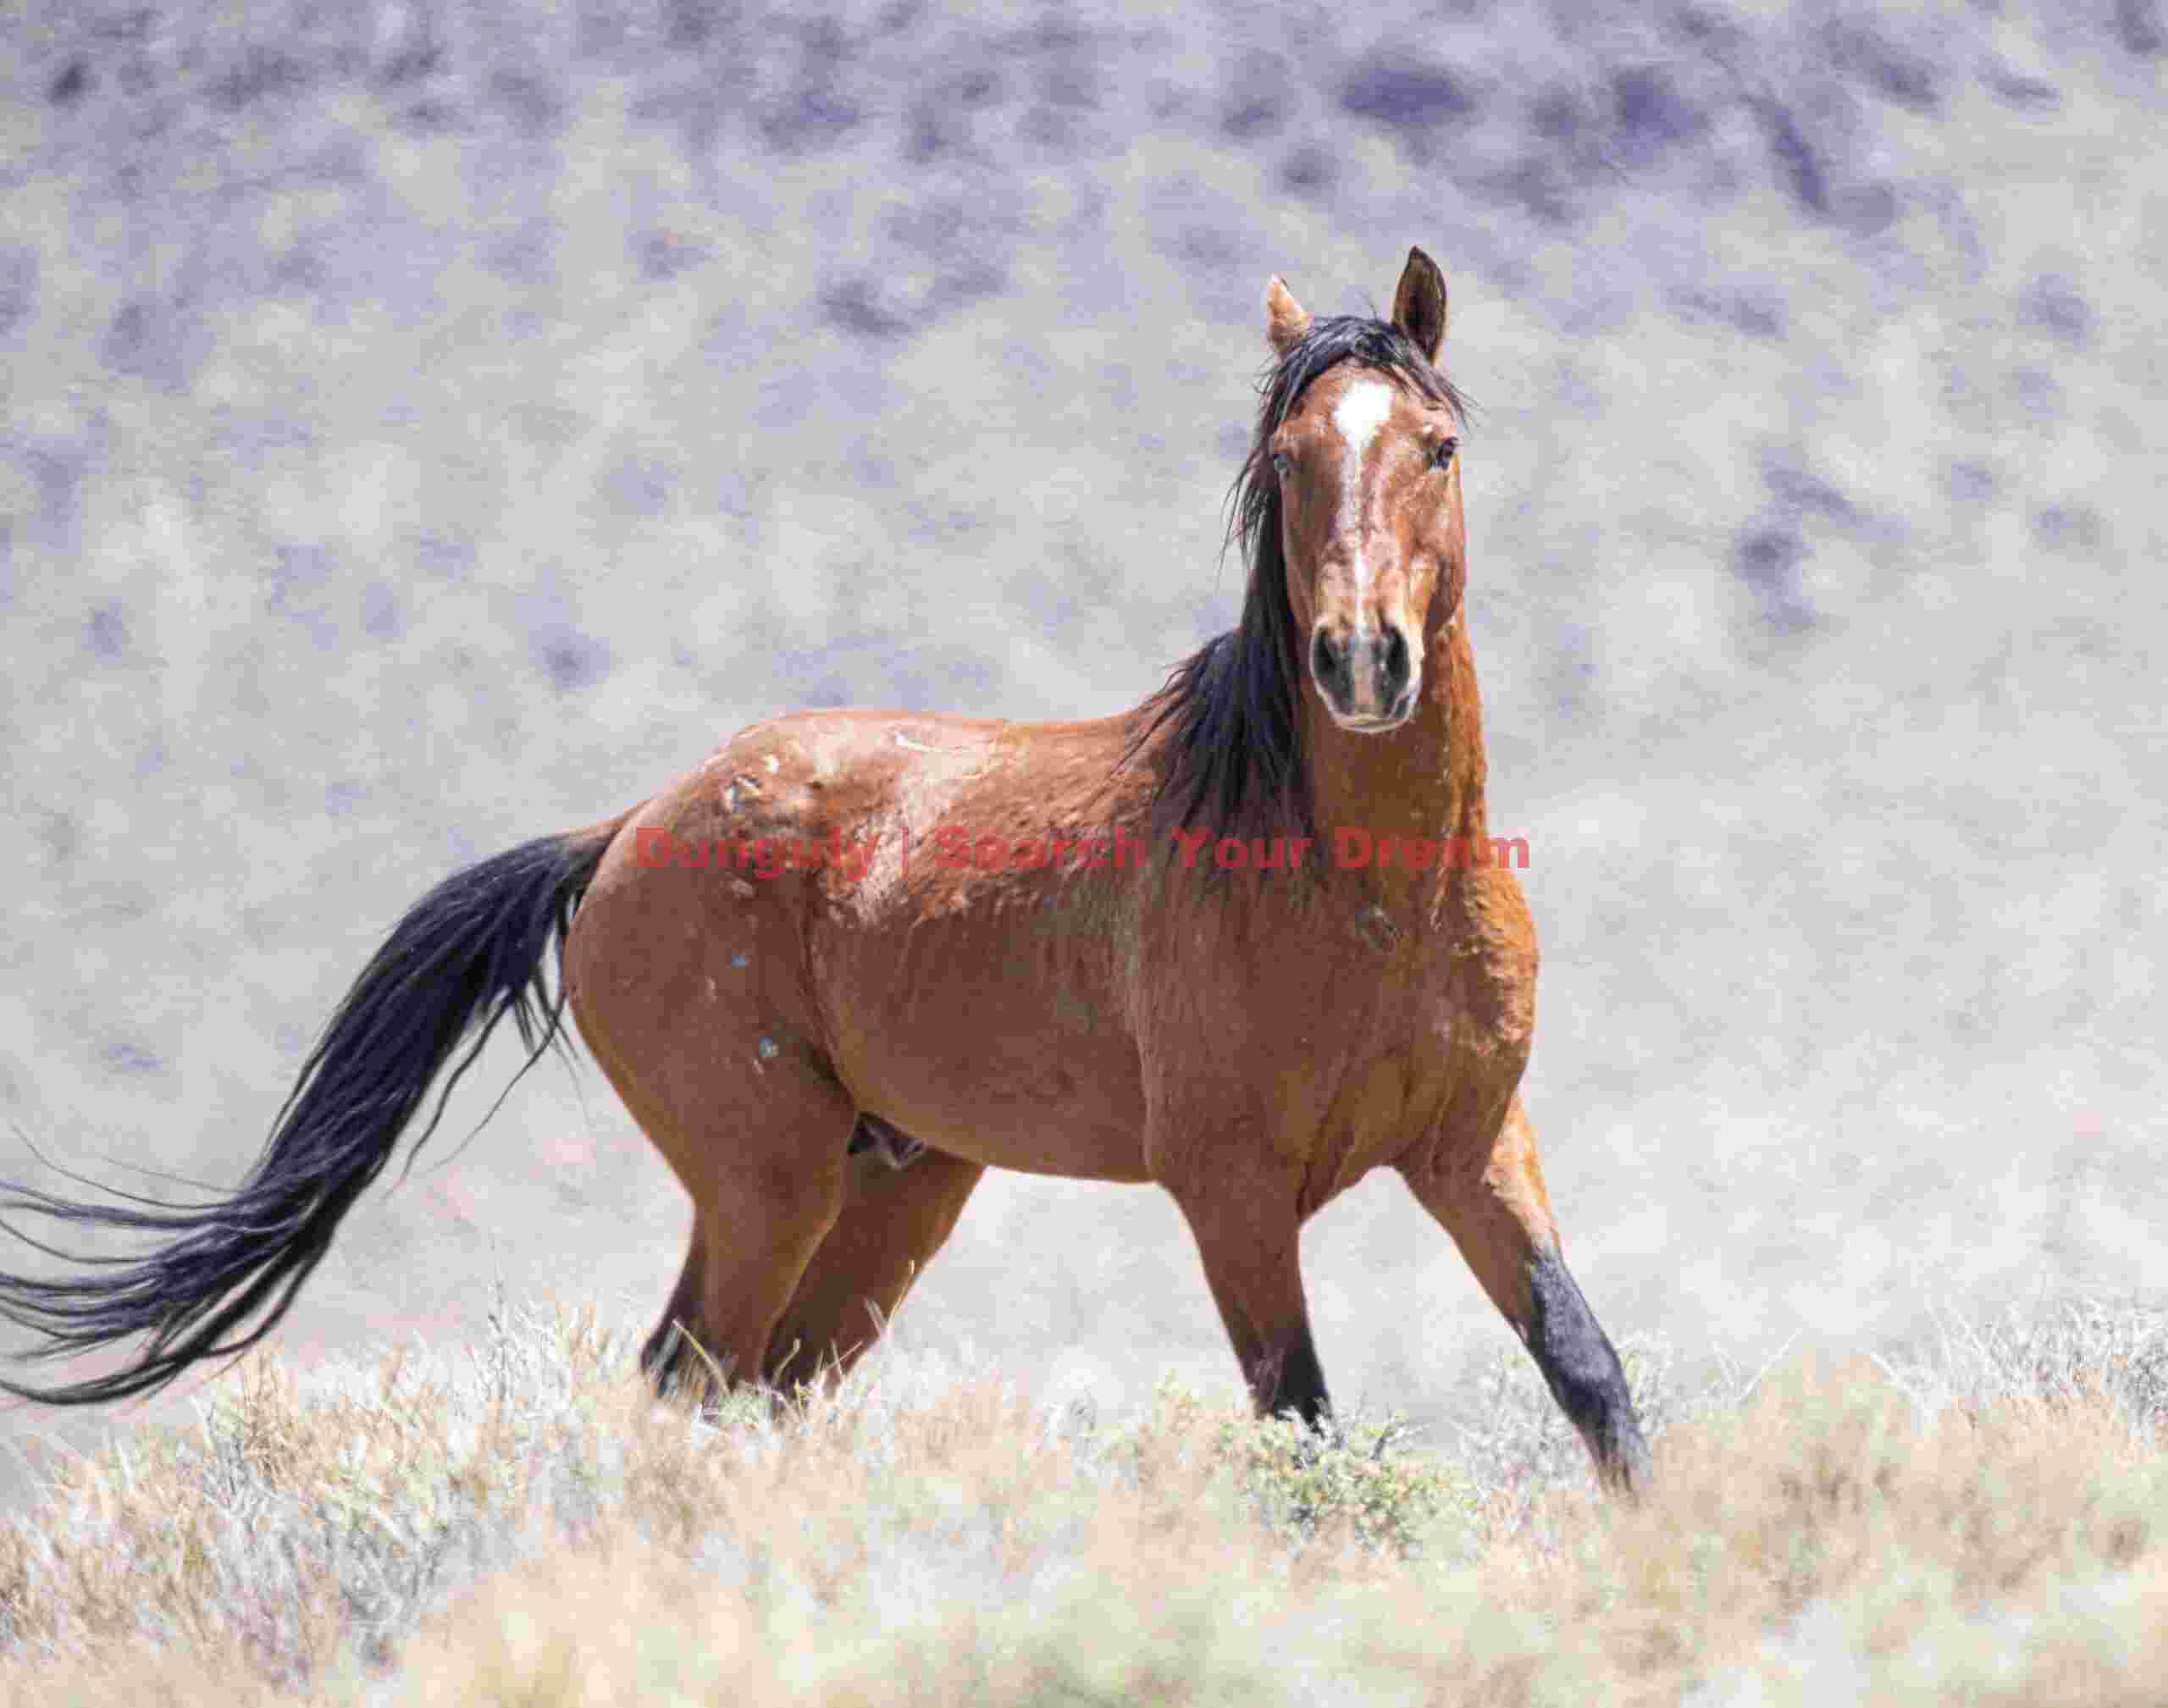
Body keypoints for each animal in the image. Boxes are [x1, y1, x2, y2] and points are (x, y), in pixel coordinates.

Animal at [0, 248, 1650, 1493]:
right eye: (1291, 460)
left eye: (1436, 446)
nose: (1361, 661)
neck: (1362, 890)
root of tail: (621, 835)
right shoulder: (1230, 1190)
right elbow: (1298, 1422)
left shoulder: (1472, 1147)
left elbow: (1588, 1370)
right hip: (766, 1184)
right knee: (688, 1380)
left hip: (889, 1192)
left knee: (761, 1393)